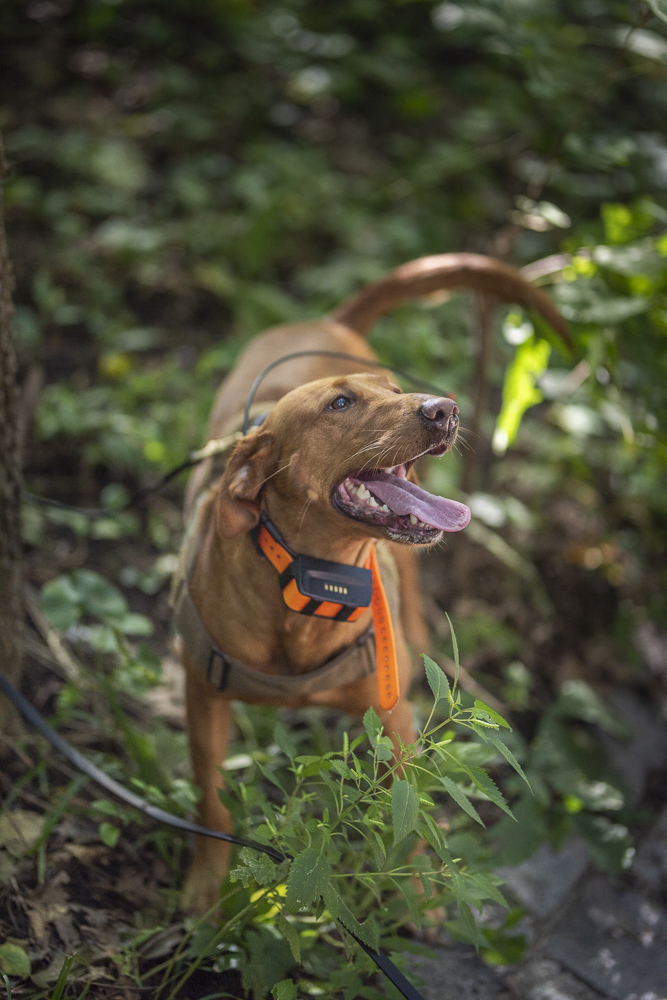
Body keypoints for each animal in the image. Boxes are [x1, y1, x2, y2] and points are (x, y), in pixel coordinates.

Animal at [176, 252, 568, 916]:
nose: (444, 408)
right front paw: (206, 882)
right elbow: (210, 795)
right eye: (340, 404)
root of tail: (327, 320)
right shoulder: (202, 695)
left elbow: (407, 811)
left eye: (393, 391)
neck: (309, 582)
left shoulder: (394, 720)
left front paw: (415, 898)